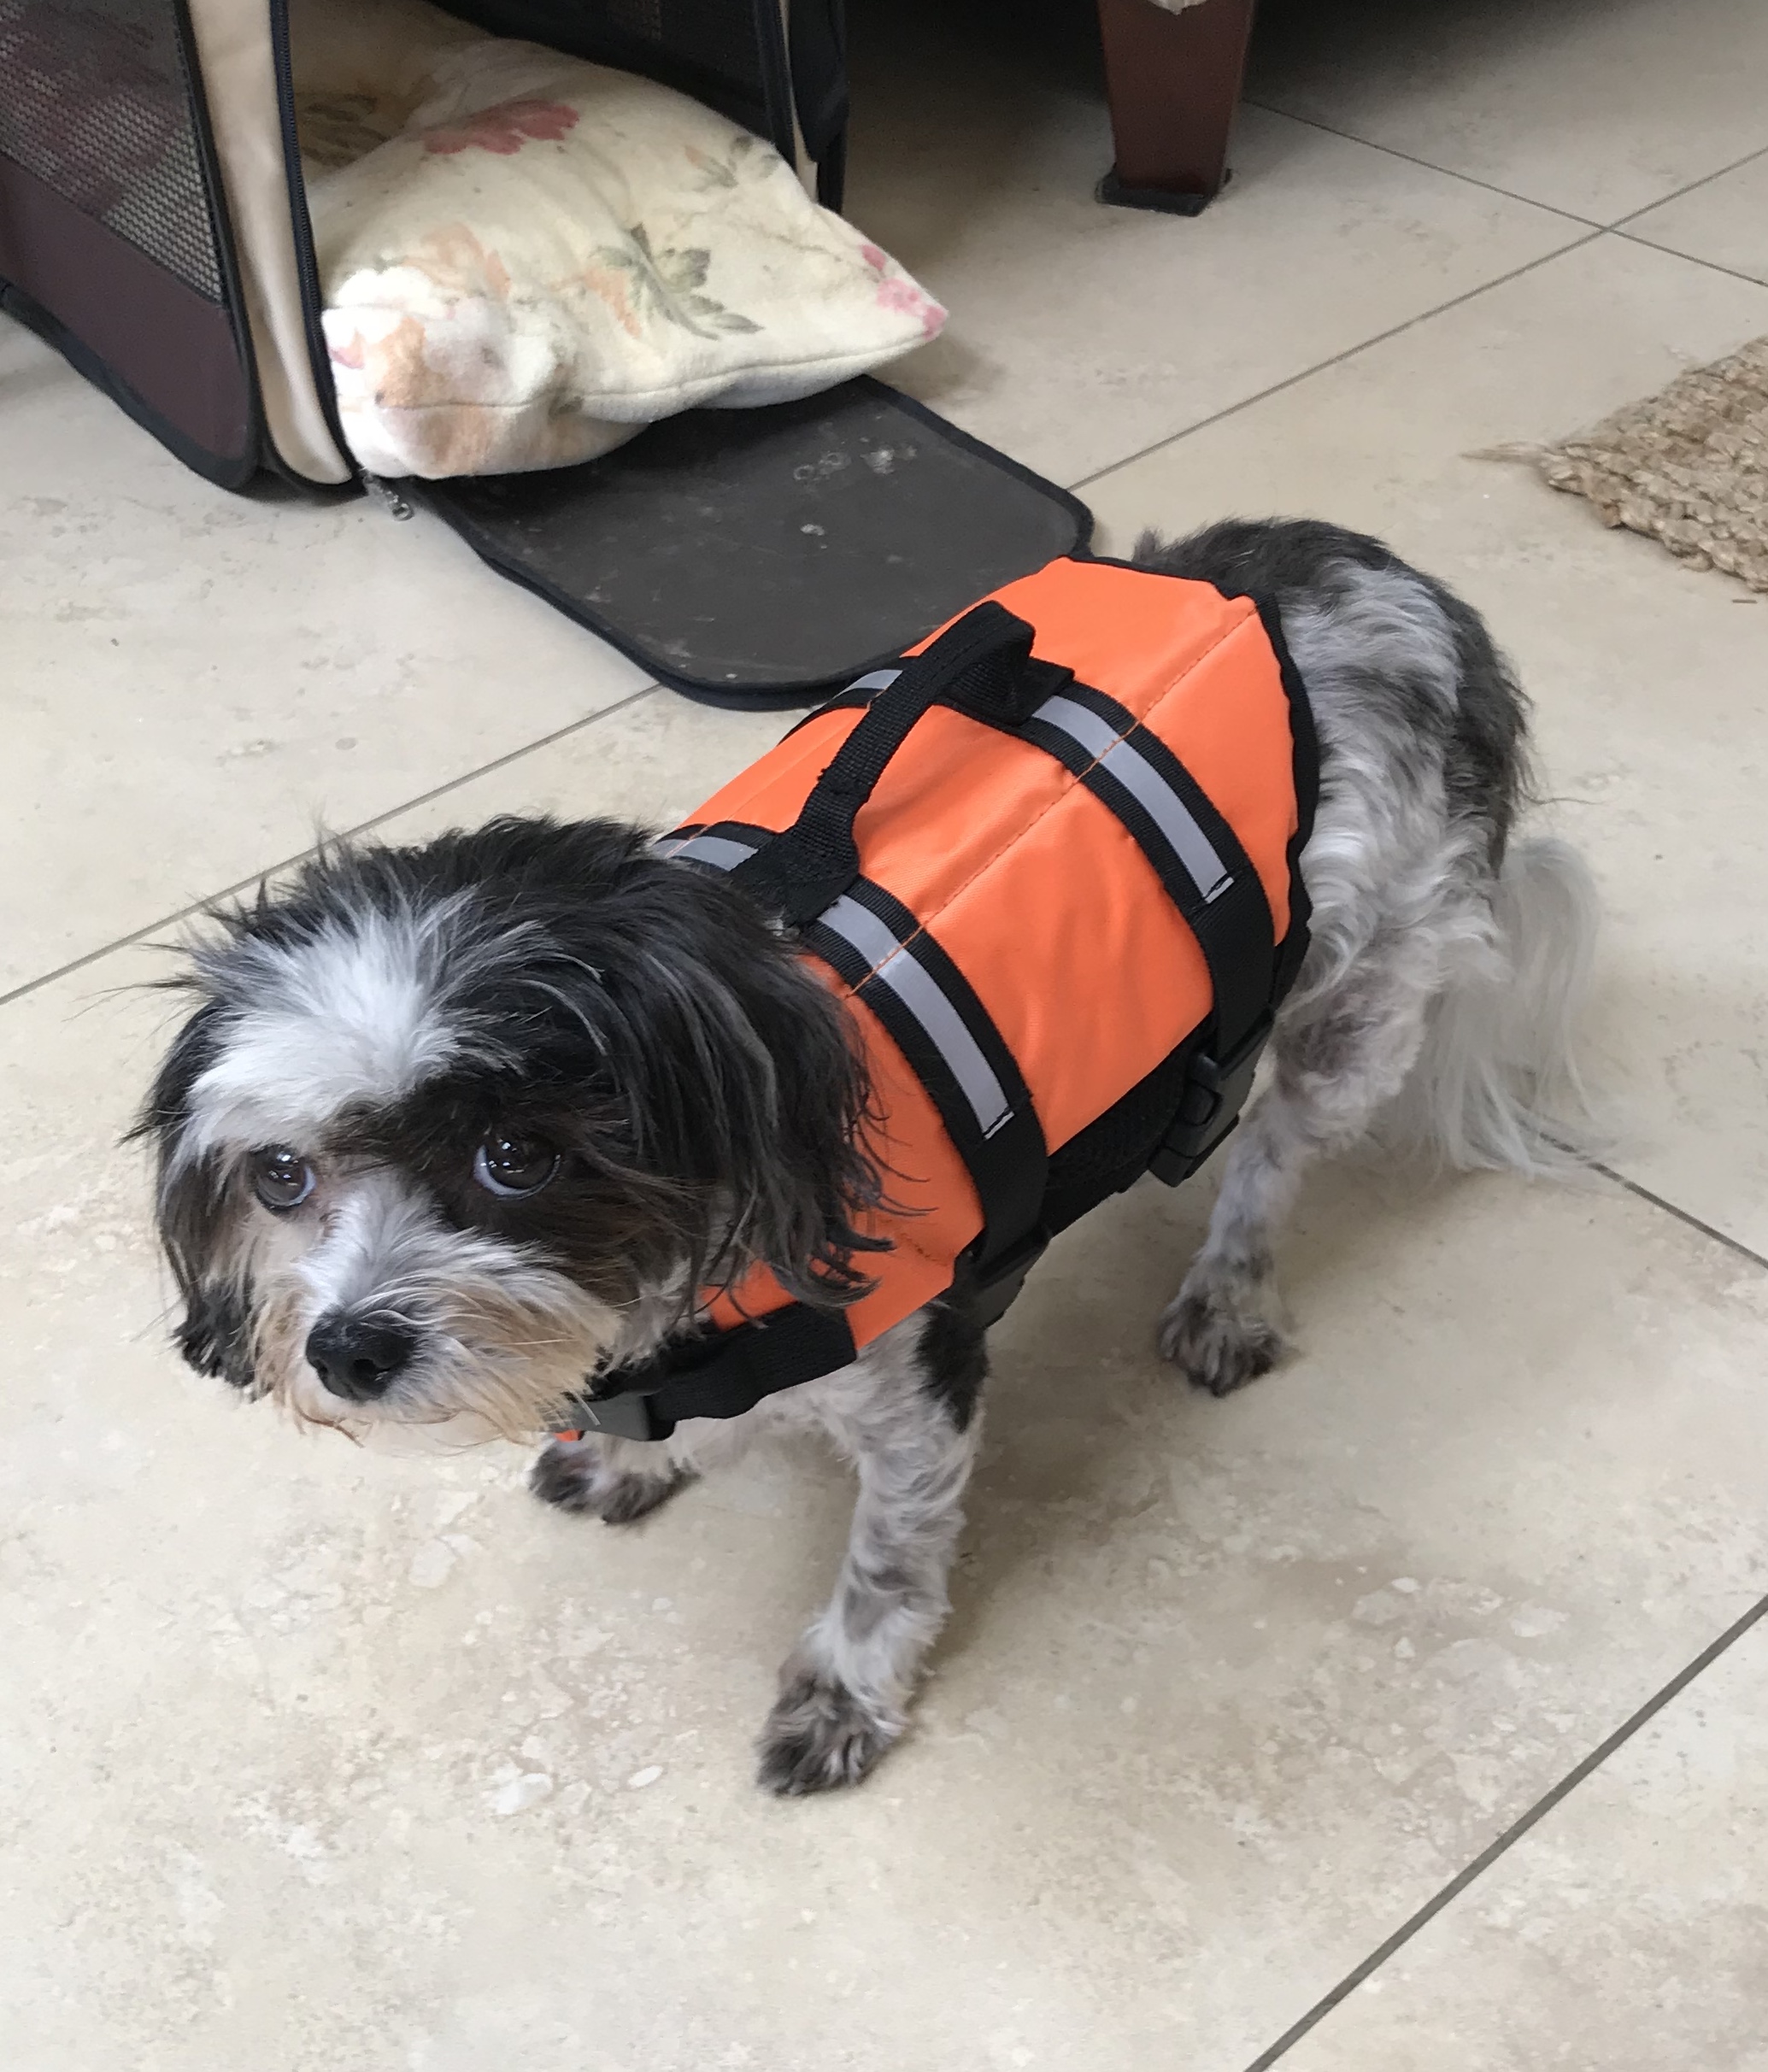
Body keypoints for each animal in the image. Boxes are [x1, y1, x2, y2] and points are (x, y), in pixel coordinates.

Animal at [138, 519, 1597, 1793]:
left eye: (515, 1155)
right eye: (281, 1176)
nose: (347, 1348)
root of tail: (1361, 568)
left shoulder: (917, 1383)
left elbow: (886, 1567)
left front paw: (845, 1691)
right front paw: (633, 1459)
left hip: (1360, 1005)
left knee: (1274, 1155)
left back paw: (1230, 1286)